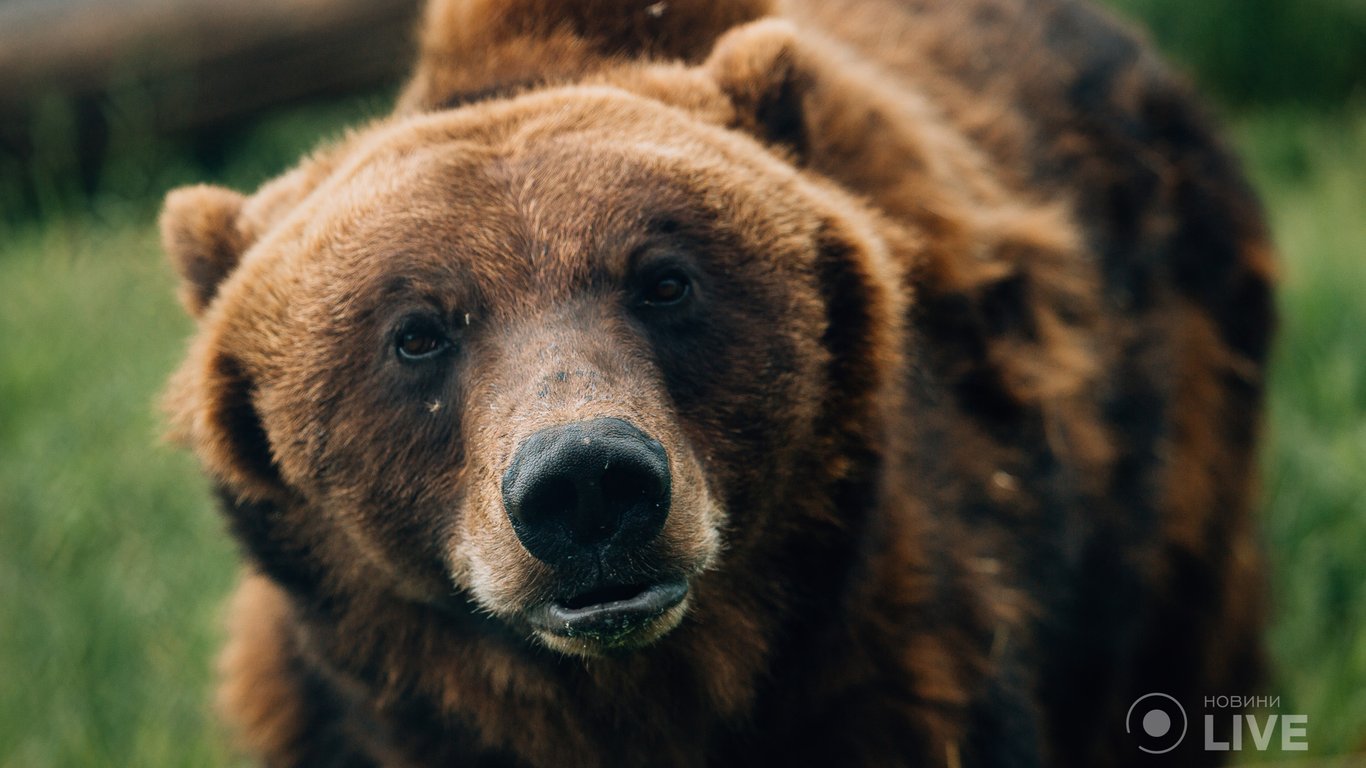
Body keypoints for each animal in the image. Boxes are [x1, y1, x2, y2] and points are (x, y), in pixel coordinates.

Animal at [162, 0, 1278, 759]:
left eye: (664, 279)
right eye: (417, 333)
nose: (586, 483)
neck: (644, 693)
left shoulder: (898, 667)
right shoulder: (346, 716)